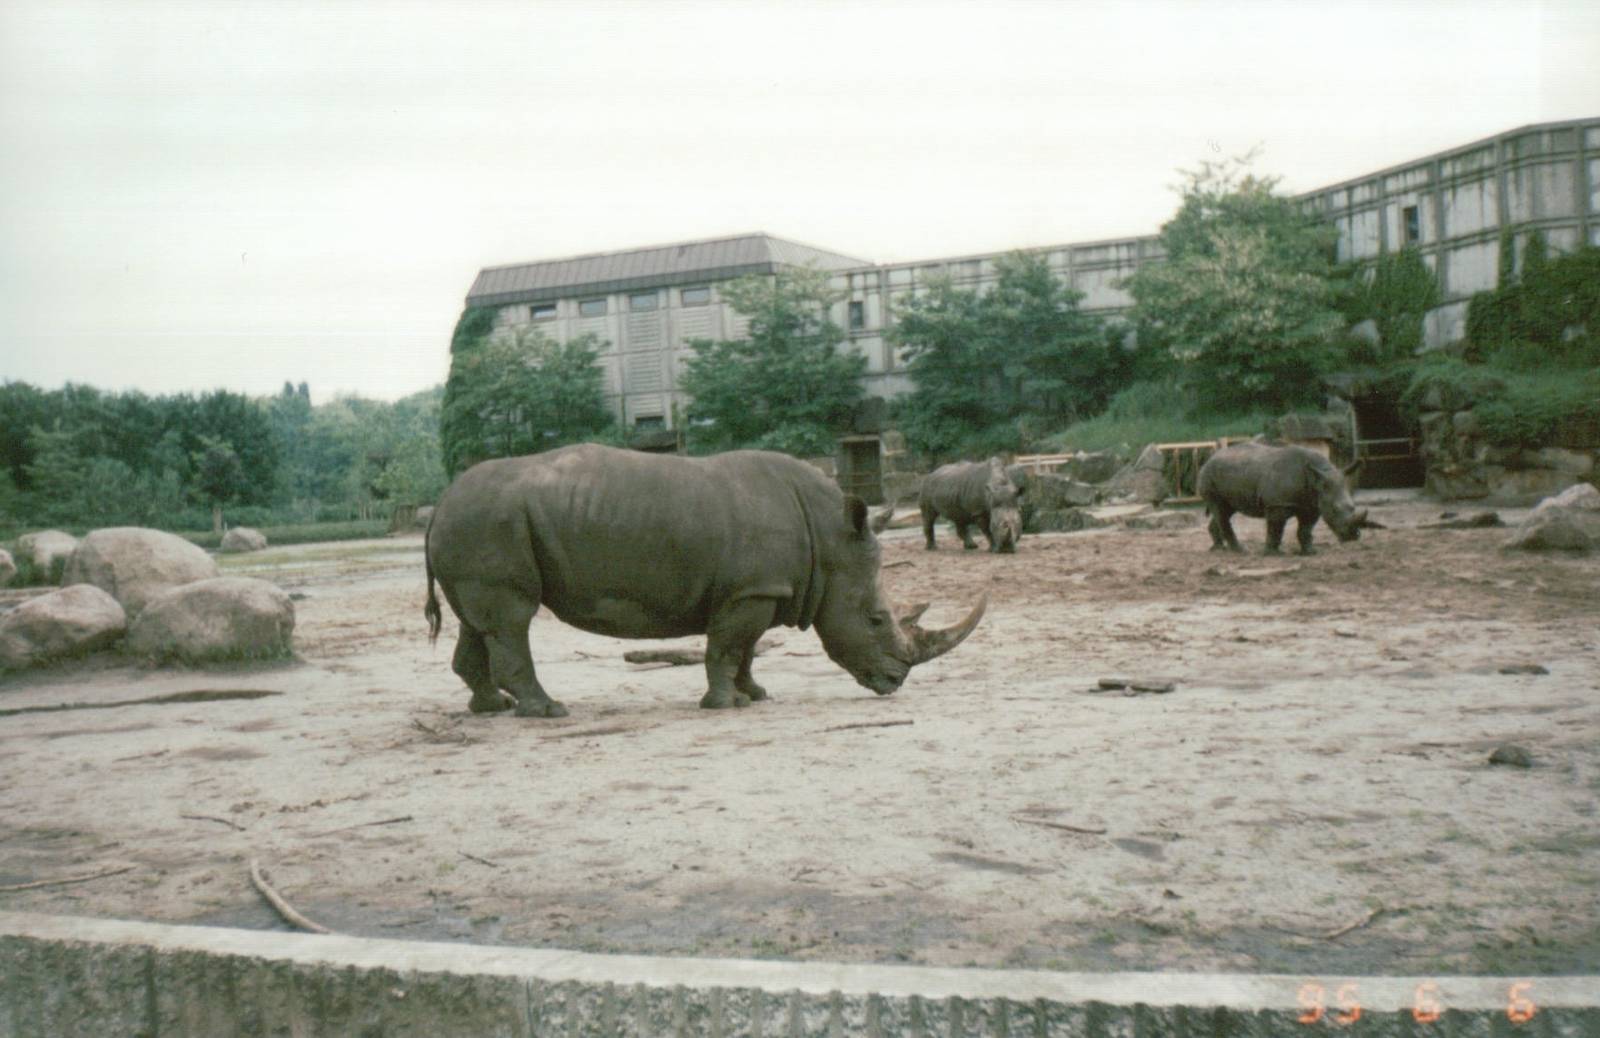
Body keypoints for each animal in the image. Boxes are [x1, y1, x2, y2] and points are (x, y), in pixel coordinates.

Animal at [424, 444, 986, 718]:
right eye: (874, 620)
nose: (895, 683)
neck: (830, 543)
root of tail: (439, 505)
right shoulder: (751, 590)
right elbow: (728, 647)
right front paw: (724, 706)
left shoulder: (760, 589)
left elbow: (747, 649)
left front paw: (755, 695)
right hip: (487, 522)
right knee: (511, 620)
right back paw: (548, 712)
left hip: (477, 525)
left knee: (478, 623)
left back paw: (492, 709)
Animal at [1197, 443, 1383, 555]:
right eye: (1334, 510)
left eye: (1352, 507)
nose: (1353, 537)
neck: (1319, 479)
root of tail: (1209, 458)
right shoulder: (1278, 504)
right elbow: (1276, 527)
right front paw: (1274, 554)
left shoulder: (1312, 504)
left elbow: (1306, 529)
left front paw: (1310, 552)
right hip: (1208, 475)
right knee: (1221, 510)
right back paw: (1241, 550)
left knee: (1226, 510)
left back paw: (1218, 548)